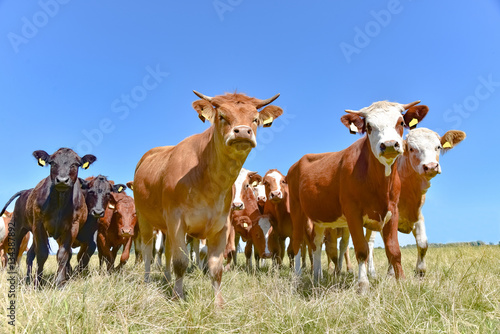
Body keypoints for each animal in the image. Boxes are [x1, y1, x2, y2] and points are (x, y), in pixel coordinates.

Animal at [133, 90, 282, 306]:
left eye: (255, 119)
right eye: (222, 116)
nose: (243, 132)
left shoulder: (222, 226)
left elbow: (216, 267)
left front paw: (218, 303)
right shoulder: (177, 221)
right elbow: (181, 262)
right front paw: (178, 296)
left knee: (167, 251)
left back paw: (167, 278)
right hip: (145, 219)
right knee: (146, 251)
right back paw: (147, 281)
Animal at [288, 100, 428, 290]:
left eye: (400, 122)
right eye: (369, 126)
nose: (389, 145)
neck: (379, 183)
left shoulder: (393, 211)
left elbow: (394, 250)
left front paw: (402, 282)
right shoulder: (352, 212)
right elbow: (362, 250)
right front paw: (363, 284)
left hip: (319, 217)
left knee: (315, 244)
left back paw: (317, 278)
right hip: (297, 210)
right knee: (297, 243)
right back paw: (296, 278)